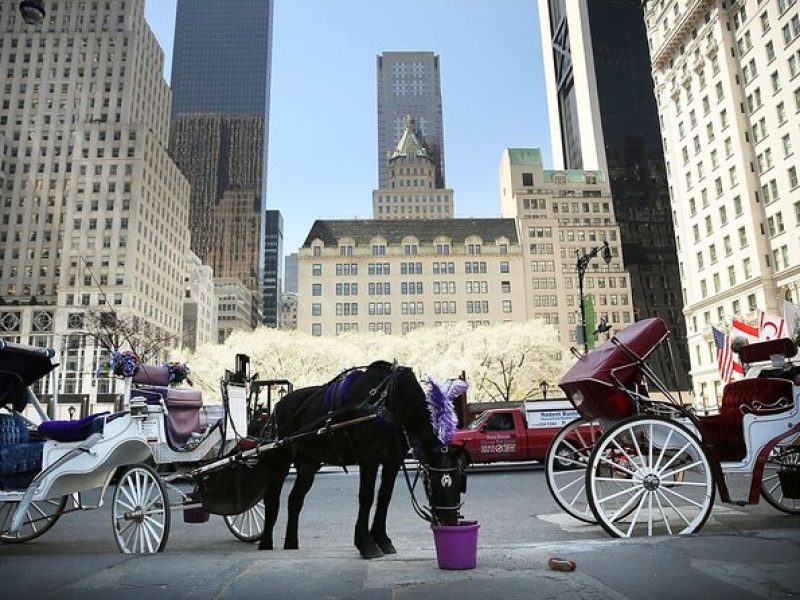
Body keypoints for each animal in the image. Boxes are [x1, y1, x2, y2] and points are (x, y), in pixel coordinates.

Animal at [260, 360, 466, 556]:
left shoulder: (393, 460)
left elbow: (384, 497)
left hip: (308, 464)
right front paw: (366, 544)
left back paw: (291, 543)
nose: (451, 522)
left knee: (295, 500)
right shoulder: (369, 457)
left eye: (459, 483)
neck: (390, 402)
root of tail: (279, 405)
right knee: (271, 499)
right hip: (280, 460)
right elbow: (367, 496)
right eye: (435, 482)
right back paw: (265, 542)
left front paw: (382, 539)